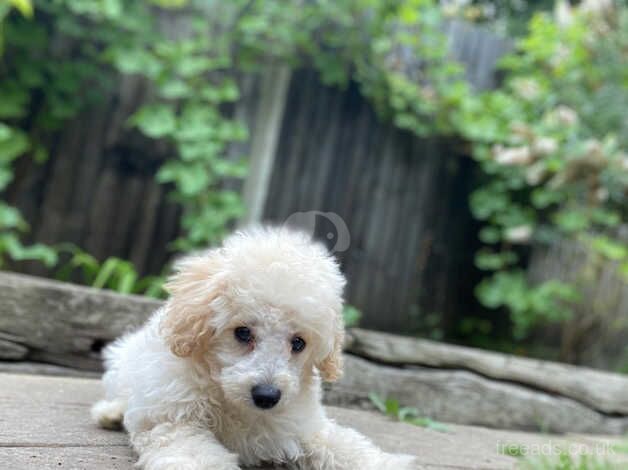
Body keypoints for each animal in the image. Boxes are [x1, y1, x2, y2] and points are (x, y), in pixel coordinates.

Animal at [92, 226, 418, 468]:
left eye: (298, 343)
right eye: (242, 332)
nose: (267, 395)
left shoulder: (304, 426)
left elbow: (343, 444)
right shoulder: (173, 420)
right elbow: (192, 451)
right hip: (123, 364)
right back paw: (111, 413)